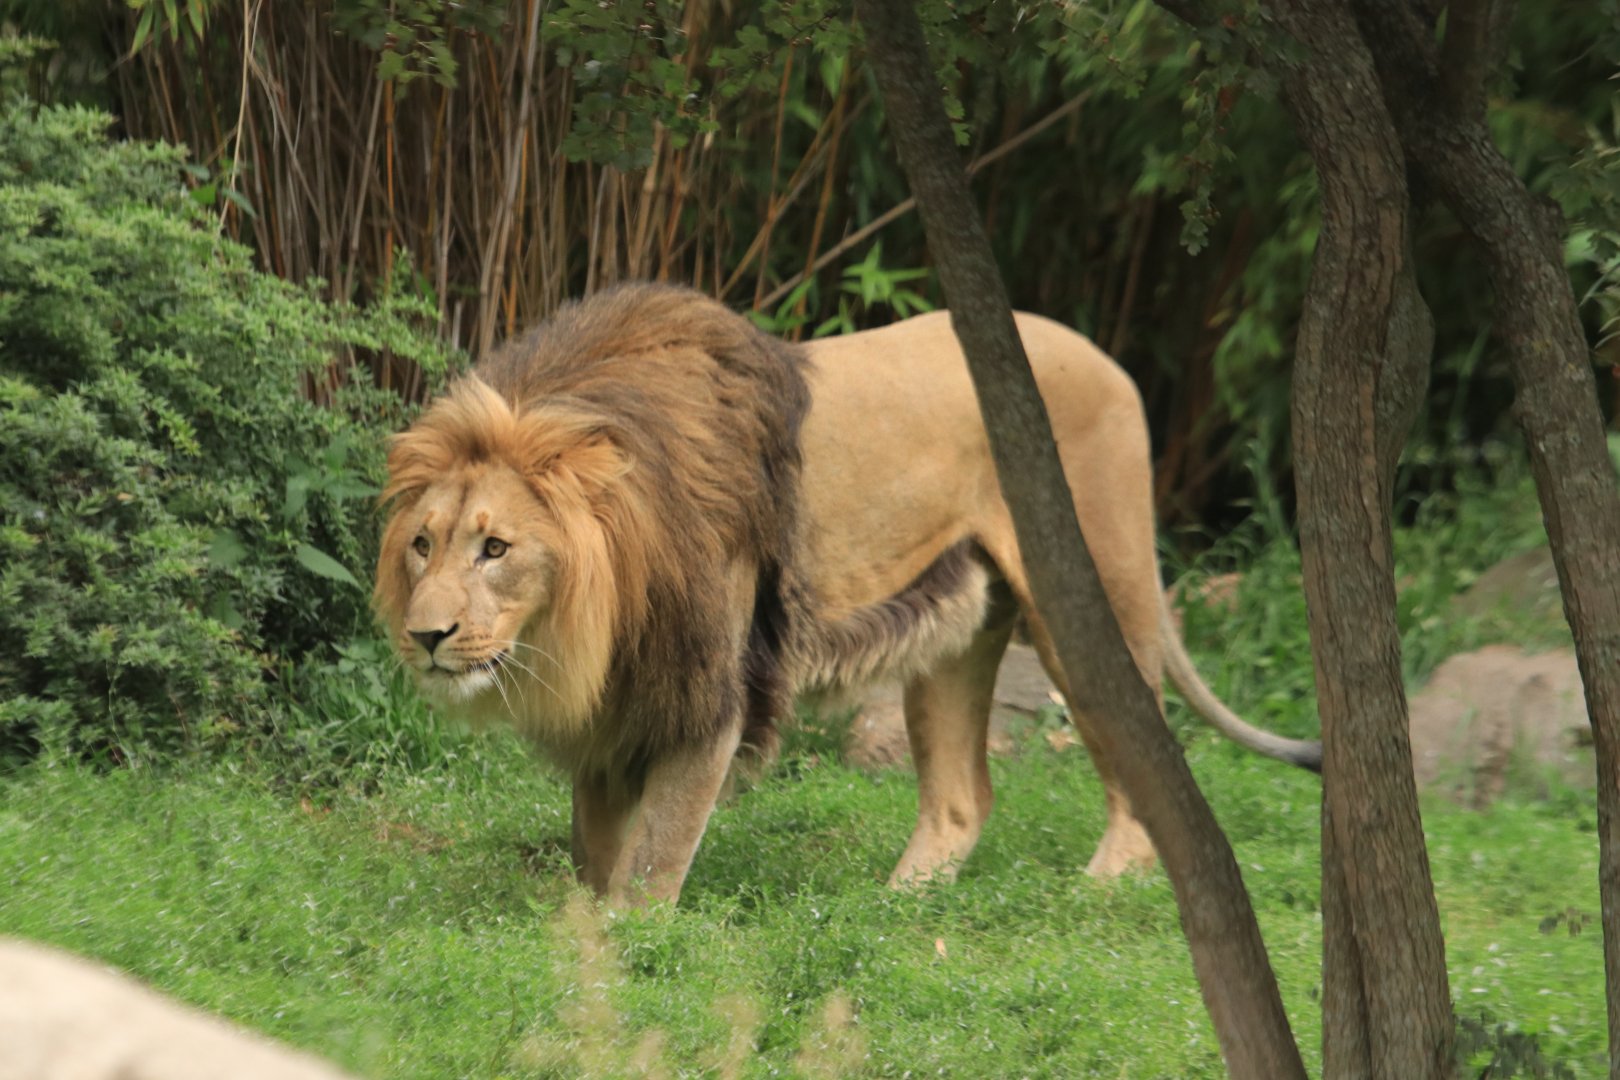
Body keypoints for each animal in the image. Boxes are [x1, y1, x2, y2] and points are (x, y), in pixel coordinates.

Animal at [375, 283, 1319, 906]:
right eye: (423, 545)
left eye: (496, 548)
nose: (425, 637)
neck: (599, 611)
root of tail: (1111, 362)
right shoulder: (618, 713)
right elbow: (596, 855)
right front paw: (580, 938)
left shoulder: (709, 696)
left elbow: (654, 862)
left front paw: (622, 959)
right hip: (959, 636)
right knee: (962, 799)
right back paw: (889, 916)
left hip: (1092, 600)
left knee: (1143, 765)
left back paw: (1096, 893)